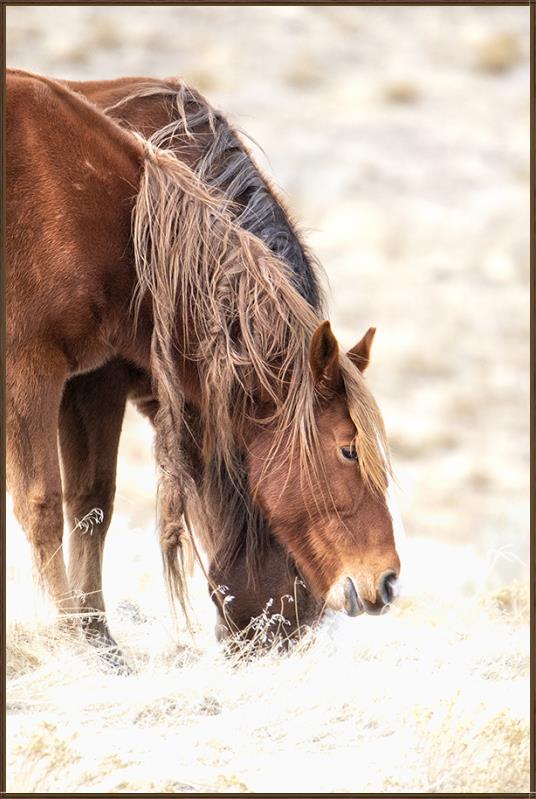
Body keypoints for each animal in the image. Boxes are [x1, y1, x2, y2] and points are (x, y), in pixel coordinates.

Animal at [7, 69, 401, 660]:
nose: (387, 582)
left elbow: (92, 504)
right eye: (348, 450)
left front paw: (100, 641)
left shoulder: (93, 379)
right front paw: (73, 642)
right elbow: (45, 506)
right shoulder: (34, 372)